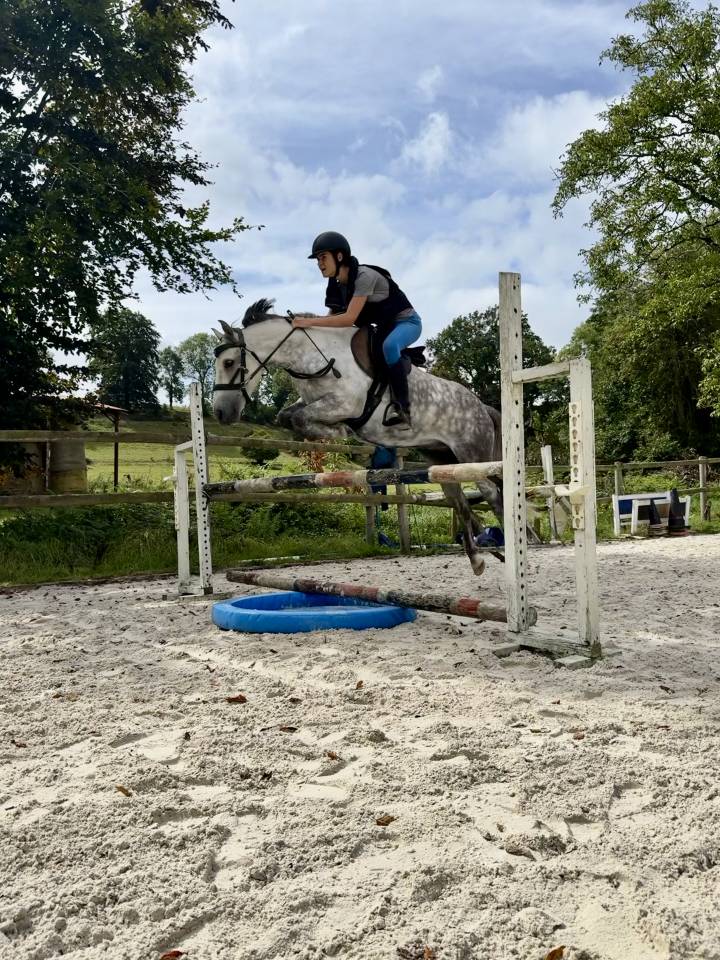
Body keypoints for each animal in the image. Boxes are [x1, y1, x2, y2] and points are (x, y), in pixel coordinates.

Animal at [211, 298, 505, 575]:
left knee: (493, 493)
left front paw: (341, 431)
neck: (314, 357)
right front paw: (338, 431)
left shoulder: (345, 404)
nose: (220, 412)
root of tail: (482, 407)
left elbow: (300, 419)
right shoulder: (311, 403)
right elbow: (288, 417)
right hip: (441, 460)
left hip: (471, 455)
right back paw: (479, 557)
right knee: (460, 501)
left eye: (229, 362)